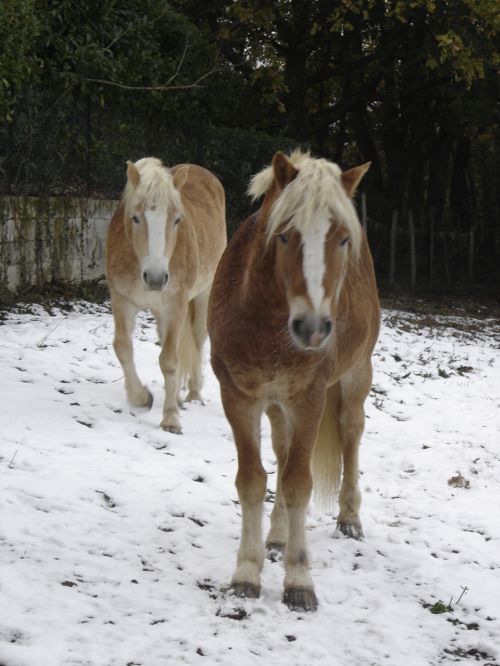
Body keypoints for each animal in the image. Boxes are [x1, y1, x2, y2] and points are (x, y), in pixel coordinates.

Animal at [108, 156, 228, 430]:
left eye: (176, 219)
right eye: (135, 217)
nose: (155, 278)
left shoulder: (176, 305)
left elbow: (170, 360)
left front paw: (171, 417)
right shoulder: (122, 300)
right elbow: (123, 347)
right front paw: (141, 397)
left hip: (203, 294)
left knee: (197, 337)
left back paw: (193, 393)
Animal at [207, 149, 378, 608]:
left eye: (342, 239)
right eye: (284, 236)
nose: (313, 329)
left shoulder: (309, 400)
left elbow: (299, 482)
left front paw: (299, 581)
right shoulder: (239, 397)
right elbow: (254, 480)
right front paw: (247, 572)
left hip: (357, 376)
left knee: (351, 432)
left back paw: (350, 518)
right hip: (276, 406)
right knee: (282, 456)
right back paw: (277, 537)